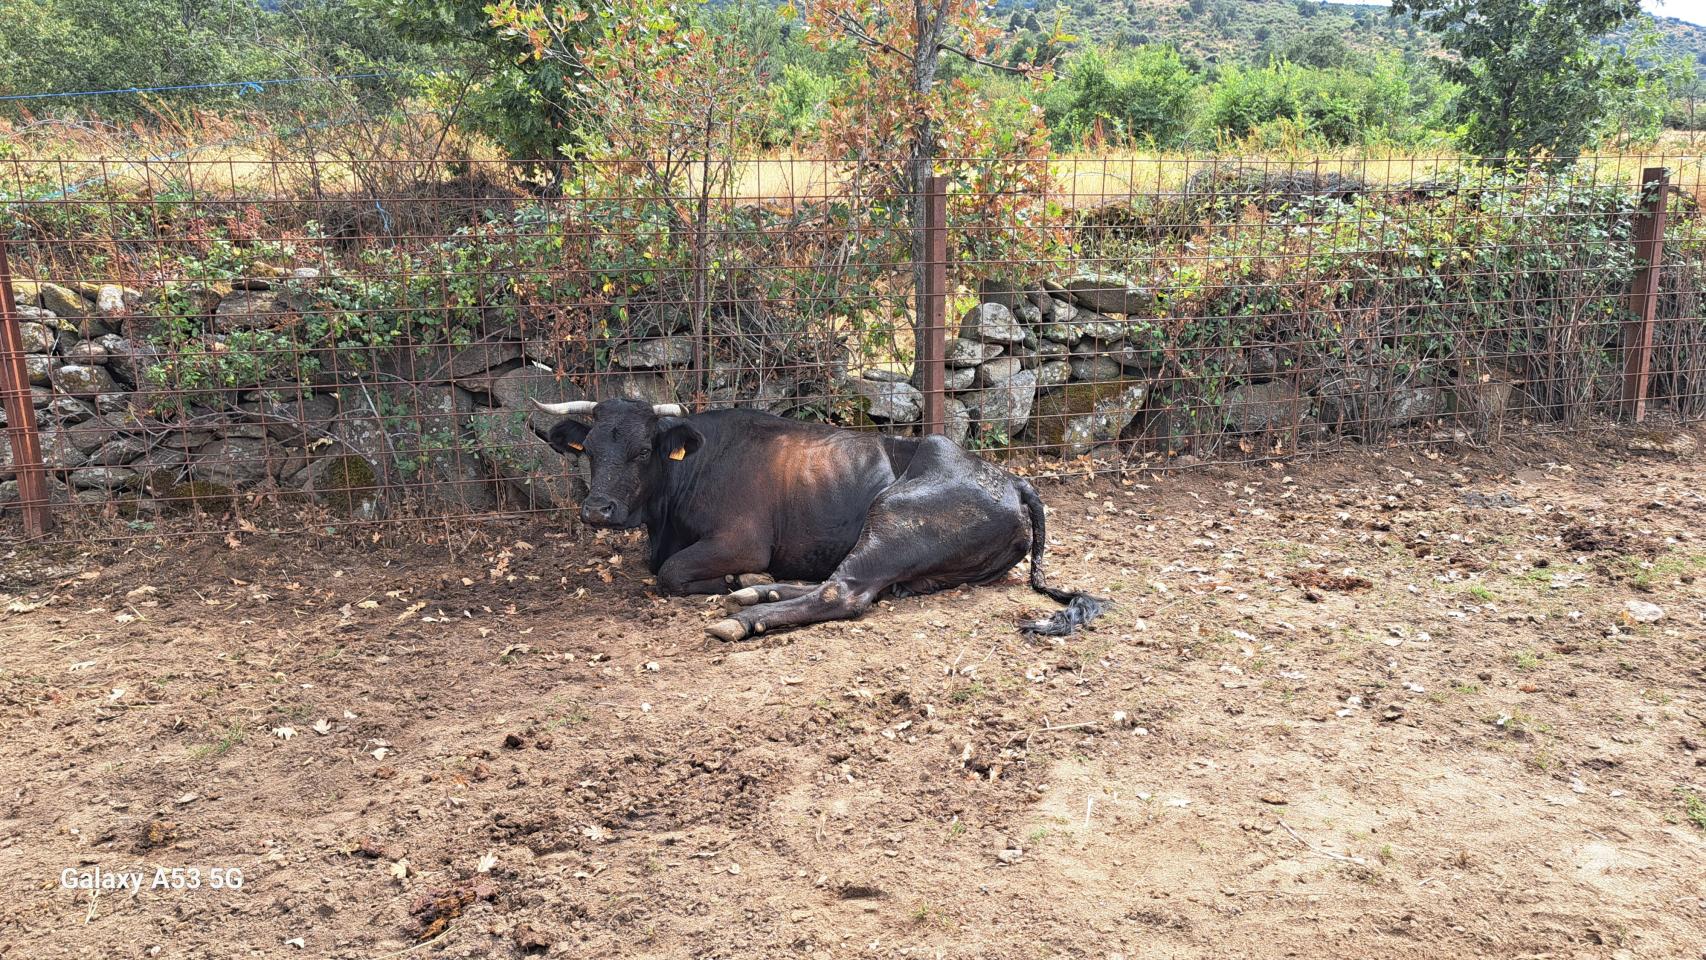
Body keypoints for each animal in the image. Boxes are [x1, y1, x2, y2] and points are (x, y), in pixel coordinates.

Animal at [533, 397, 1107, 642]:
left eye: (643, 450)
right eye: (589, 450)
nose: (596, 509)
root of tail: (1008, 478)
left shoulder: (742, 539)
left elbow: (669, 573)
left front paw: (730, 579)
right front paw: (741, 581)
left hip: (893, 518)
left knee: (843, 591)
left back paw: (744, 613)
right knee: (843, 581)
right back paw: (753, 591)